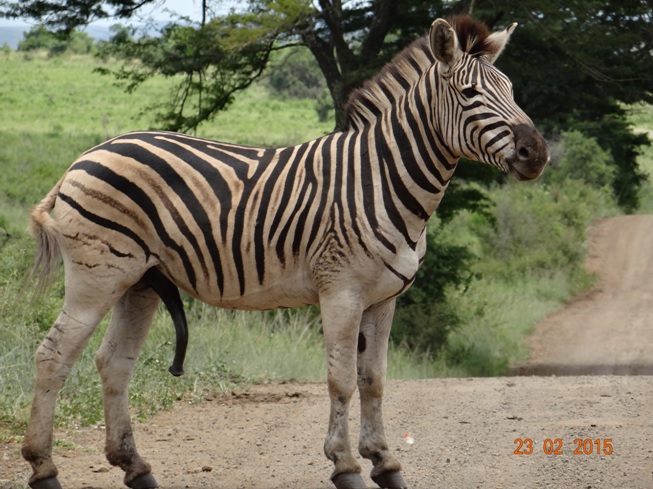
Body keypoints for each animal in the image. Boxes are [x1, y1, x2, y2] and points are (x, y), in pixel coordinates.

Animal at [20, 14, 548, 488]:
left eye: (512, 90)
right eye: (469, 94)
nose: (537, 153)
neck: (382, 178)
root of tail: (86, 155)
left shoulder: (385, 298)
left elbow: (375, 380)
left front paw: (385, 463)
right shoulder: (341, 291)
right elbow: (342, 380)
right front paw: (346, 467)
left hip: (141, 283)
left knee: (114, 362)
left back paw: (136, 468)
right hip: (98, 275)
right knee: (52, 357)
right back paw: (44, 468)